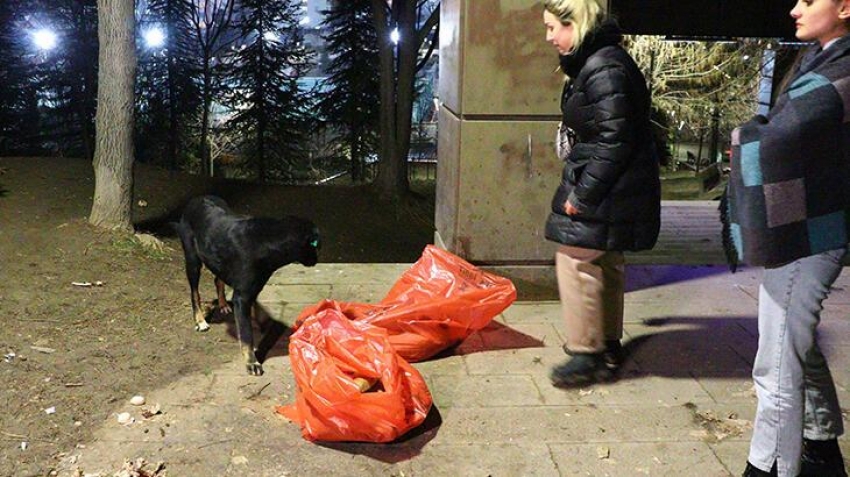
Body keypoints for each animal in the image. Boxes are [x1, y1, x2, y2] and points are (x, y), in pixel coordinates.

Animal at [174, 195, 320, 374]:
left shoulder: (254, 287)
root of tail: (196, 199)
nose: (317, 259)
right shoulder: (242, 296)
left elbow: (254, 311)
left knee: (218, 280)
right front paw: (252, 362)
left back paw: (223, 304)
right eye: (314, 245)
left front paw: (258, 323)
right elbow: (246, 334)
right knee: (195, 293)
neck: (267, 240)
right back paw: (200, 320)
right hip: (192, 260)